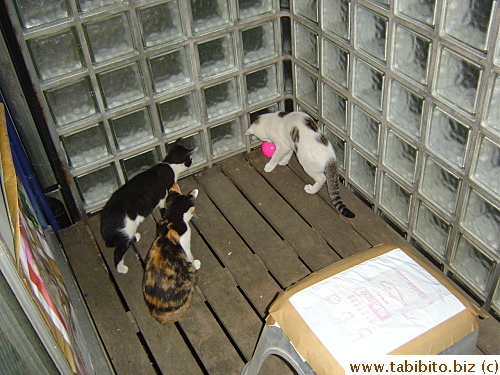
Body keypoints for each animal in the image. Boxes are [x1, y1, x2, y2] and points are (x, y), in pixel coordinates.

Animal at [100, 140, 196, 274]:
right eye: (190, 159)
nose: (192, 162)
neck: (169, 164)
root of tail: (105, 221)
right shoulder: (164, 198)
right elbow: (166, 210)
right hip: (125, 230)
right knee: (118, 253)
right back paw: (121, 269)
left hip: (126, 231)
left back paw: (135, 236)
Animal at [143, 184, 199, 324]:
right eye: (193, 207)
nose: (195, 212)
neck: (172, 220)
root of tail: (160, 316)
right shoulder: (186, 244)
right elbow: (190, 256)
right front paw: (196, 262)